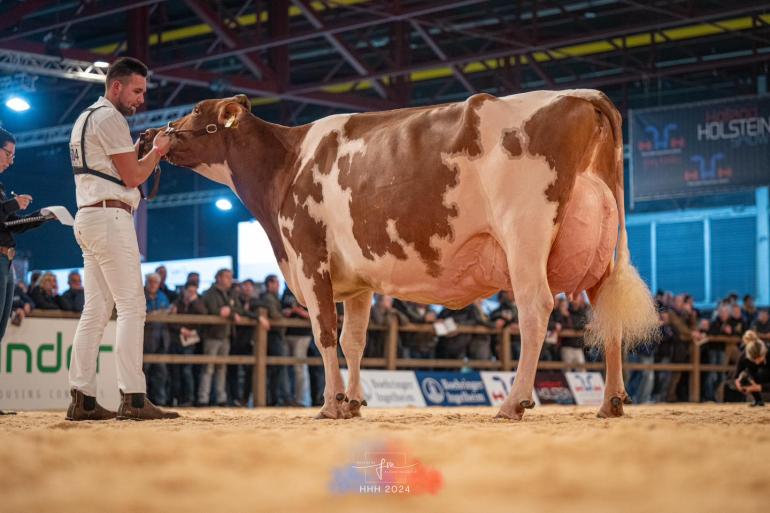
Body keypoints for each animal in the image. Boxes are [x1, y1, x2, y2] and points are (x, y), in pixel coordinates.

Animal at [147, 89, 656, 420]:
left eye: (195, 110)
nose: (154, 129)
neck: (286, 166)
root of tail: (582, 95)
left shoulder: (309, 257)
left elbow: (324, 334)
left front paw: (330, 404)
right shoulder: (357, 282)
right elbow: (353, 340)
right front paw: (353, 402)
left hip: (525, 236)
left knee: (536, 310)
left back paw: (514, 402)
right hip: (601, 253)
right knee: (608, 311)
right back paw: (611, 402)